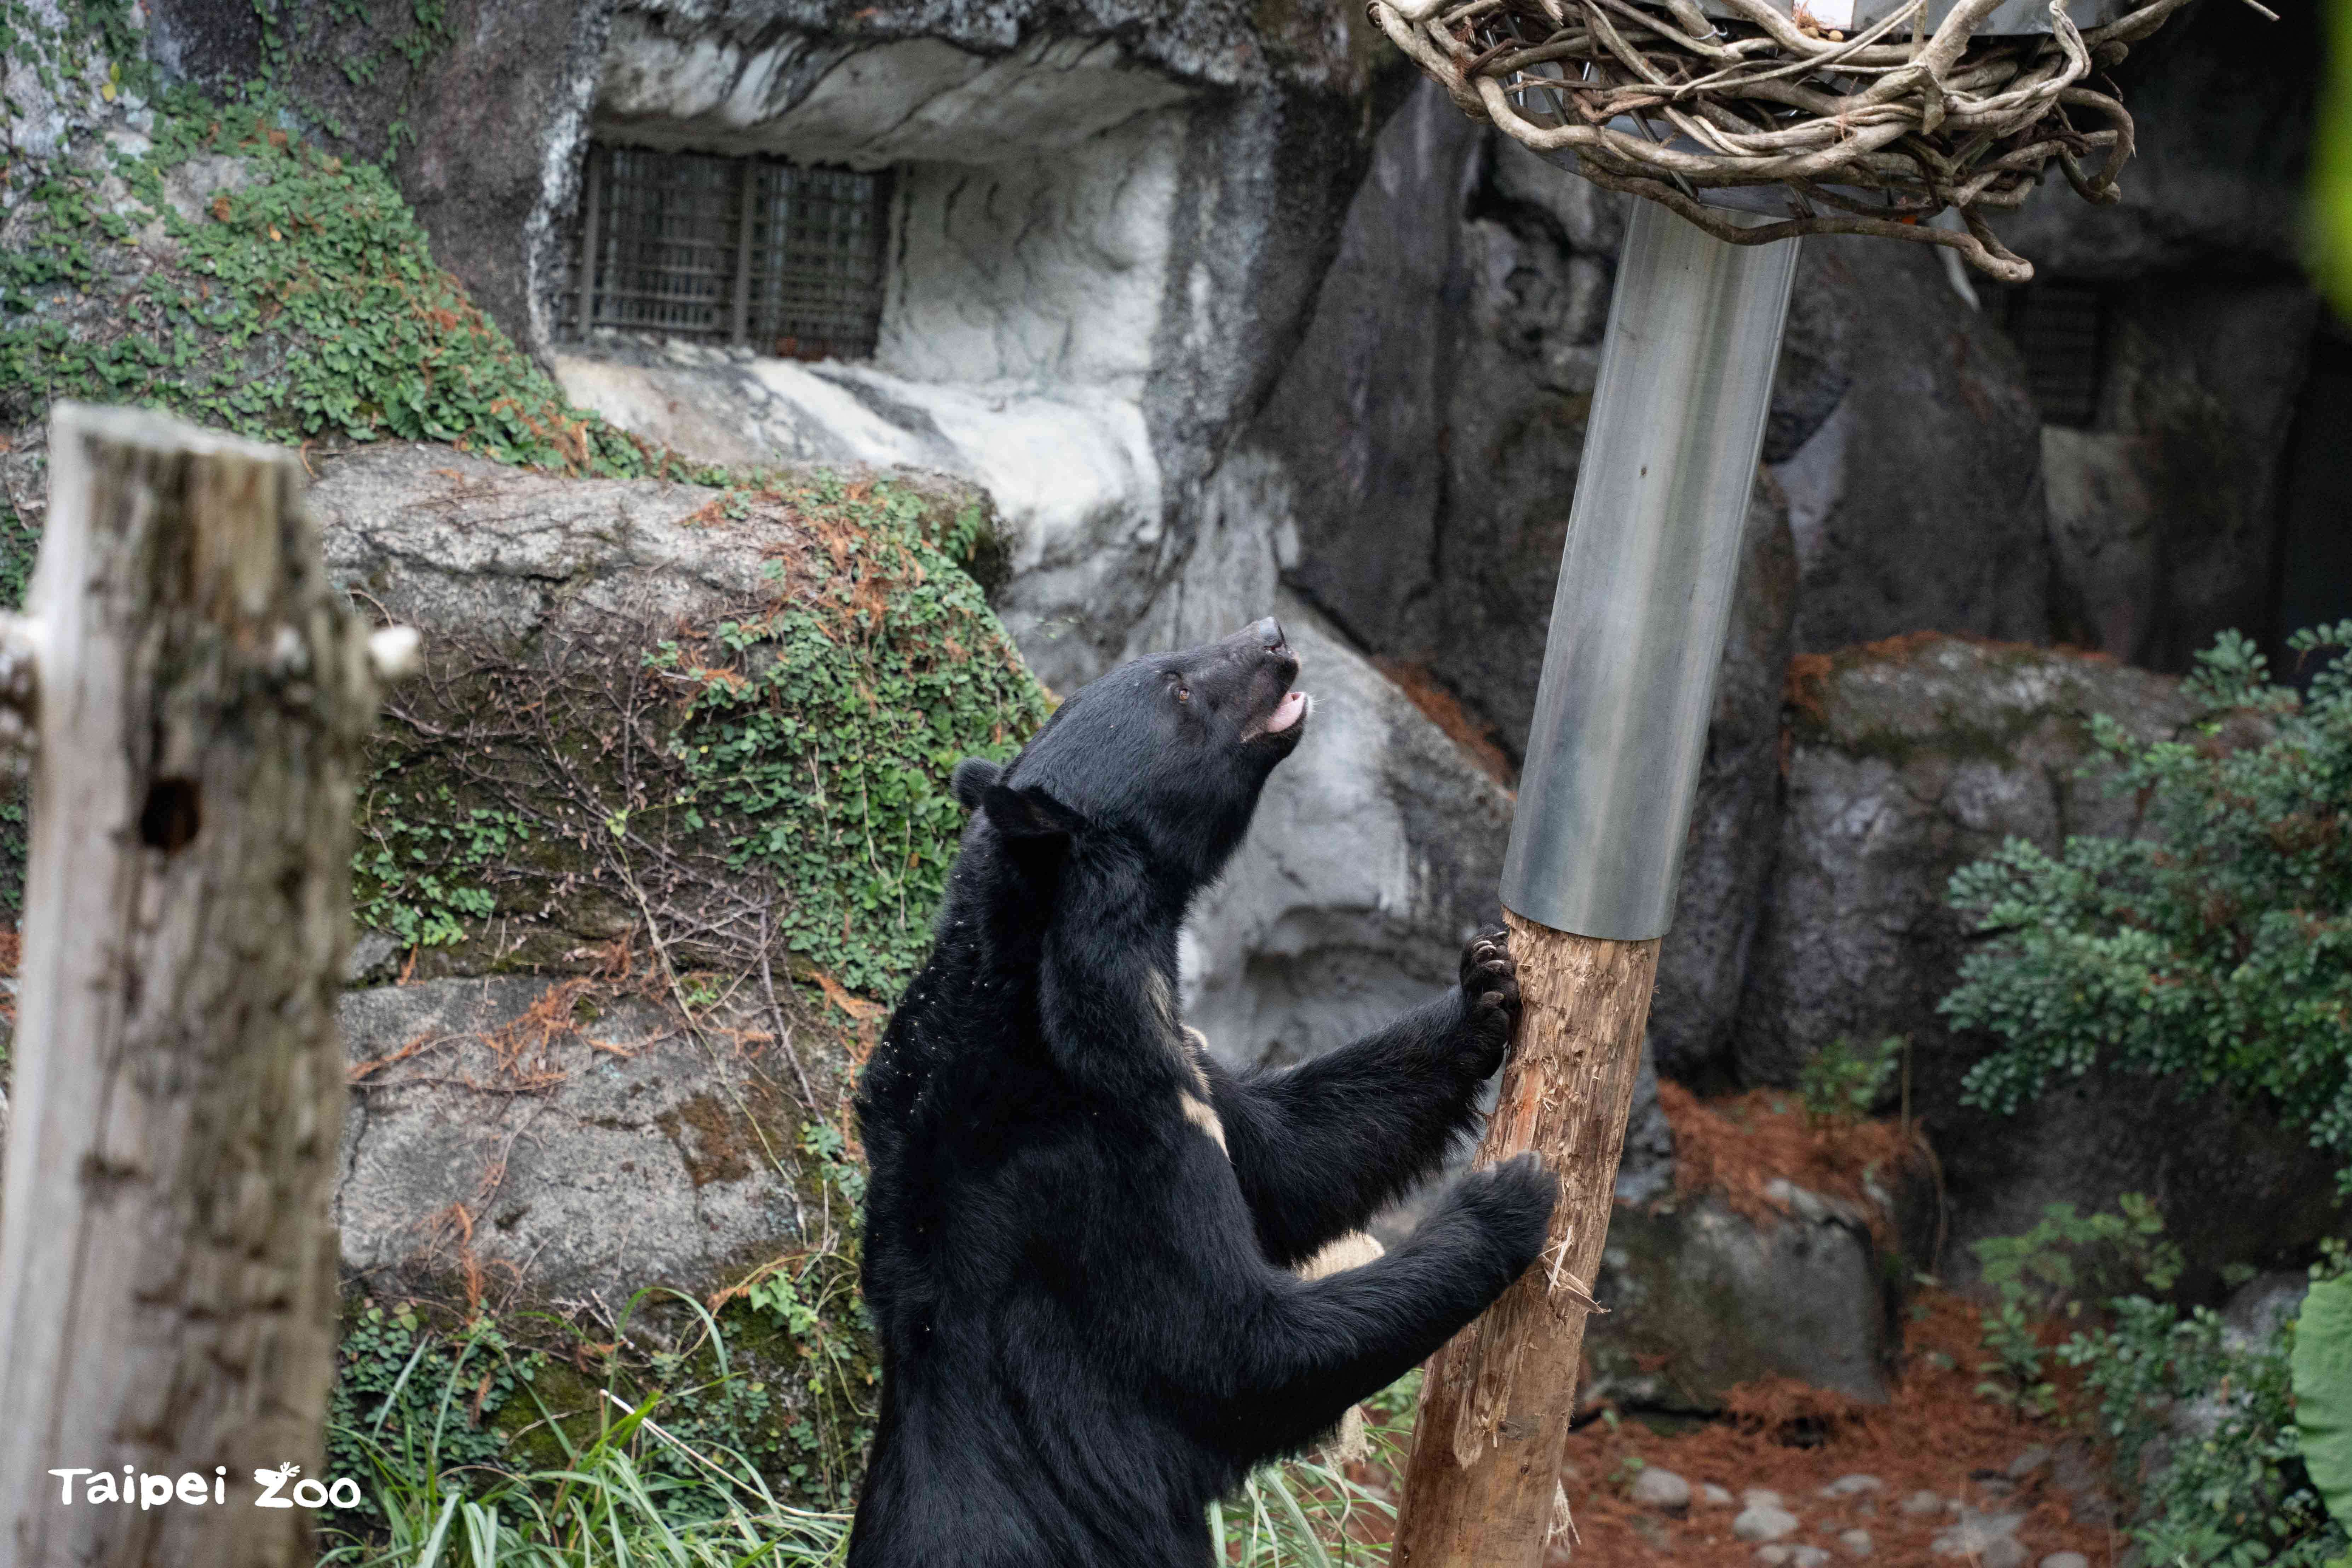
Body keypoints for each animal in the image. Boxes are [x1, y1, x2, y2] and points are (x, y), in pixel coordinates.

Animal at [847, 616, 1559, 1568]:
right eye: (1178, 687)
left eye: (1166, 664)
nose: (1272, 633)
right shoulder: (1091, 1175)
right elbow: (1236, 1354)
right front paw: (1508, 1197)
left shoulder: (1180, 1069)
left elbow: (1294, 1154)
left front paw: (1484, 988)